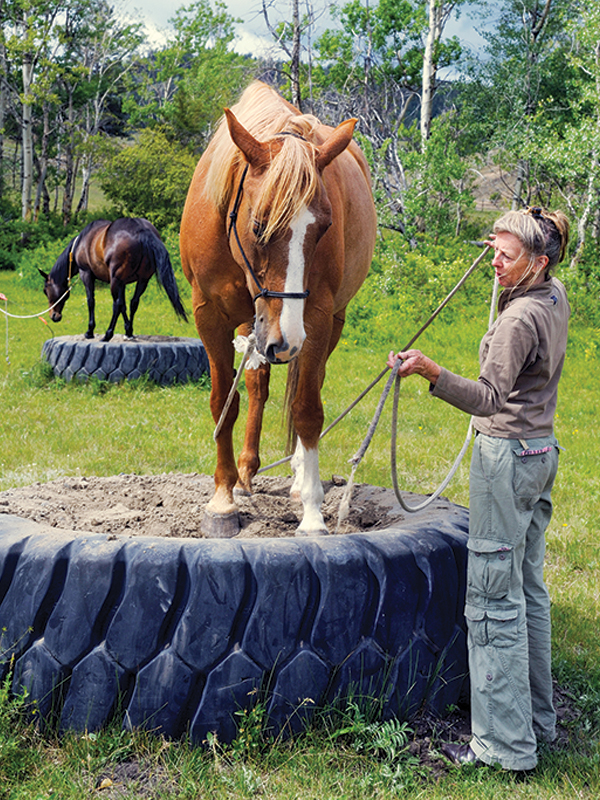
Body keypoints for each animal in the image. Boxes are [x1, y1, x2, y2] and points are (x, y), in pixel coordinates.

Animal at [40, 217, 188, 341]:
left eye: (45, 291)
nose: (54, 316)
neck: (79, 245)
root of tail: (141, 230)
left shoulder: (87, 274)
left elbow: (92, 301)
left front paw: (90, 331)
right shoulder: (123, 283)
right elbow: (124, 306)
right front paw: (128, 330)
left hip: (115, 281)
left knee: (116, 305)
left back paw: (108, 334)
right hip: (142, 280)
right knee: (134, 303)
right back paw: (128, 332)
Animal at [180, 82, 377, 538]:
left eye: (323, 228)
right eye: (259, 226)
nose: (286, 342)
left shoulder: (315, 317)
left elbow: (307, 410)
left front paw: (312, 512)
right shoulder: (210, 316)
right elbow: (224, 403)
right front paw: (222, 497)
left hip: (319, 326)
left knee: (309, 384)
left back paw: (301, 476)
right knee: (257, 386)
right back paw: (245, 473)